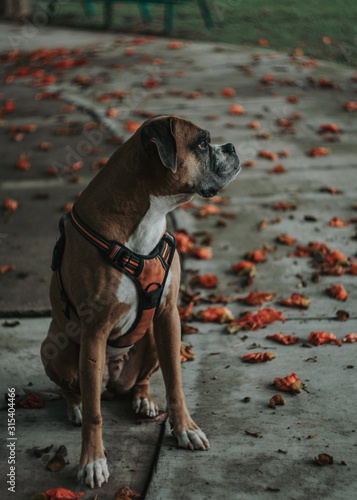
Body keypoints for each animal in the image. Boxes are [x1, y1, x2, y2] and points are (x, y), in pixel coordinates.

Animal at [41, 114, 239, 488]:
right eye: (202, 144)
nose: (233, 147)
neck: (149, 214)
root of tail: (112, 384)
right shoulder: (95, 331)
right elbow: (95, 414)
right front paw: (92, 462)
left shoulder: (168, 316)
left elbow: (176, 382)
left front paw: (184, 429)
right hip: (54, 349)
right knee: (77, 390)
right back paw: (76, 405)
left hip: (149, 340)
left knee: (140, 381)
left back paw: (143, 399)